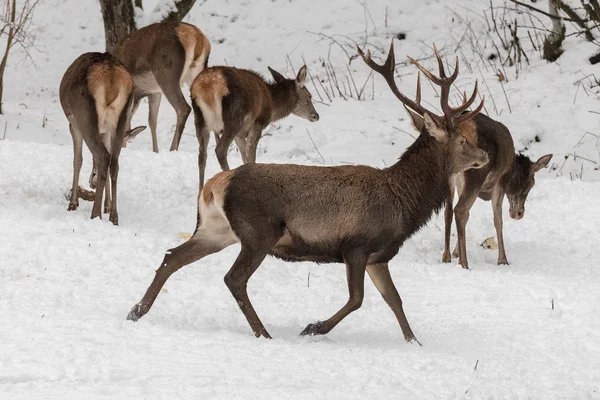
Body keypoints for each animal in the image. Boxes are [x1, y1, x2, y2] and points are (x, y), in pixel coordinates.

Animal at [59, 52, 146, 225]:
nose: (91, 183)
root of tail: (111, 79)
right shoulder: (106, 130)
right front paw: (107, 205)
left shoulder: (73, 124)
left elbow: (77, 160)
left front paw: (73, 204)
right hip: (121, 119)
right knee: (114, 161)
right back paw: (114, 216)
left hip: (84, 116)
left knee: (103, 156)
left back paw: (95, 214)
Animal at [115, 21, 211, 154]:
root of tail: (198, 37)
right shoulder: (154, 92)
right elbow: (152, 120)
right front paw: (155, 151)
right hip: (195, 73)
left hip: (166, 73)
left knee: (183, 108)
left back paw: (173, 149)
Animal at [190, 65, 322, 190]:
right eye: (309, 96)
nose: (316, 115)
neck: (272, 105)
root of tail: (207, 87)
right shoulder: (258, 122)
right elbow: (250, 156)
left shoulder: (240, 134)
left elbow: (244, 156)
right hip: (234, 118)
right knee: (220, 150)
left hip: (200, 121)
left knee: (202, 156)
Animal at [404, 46, 552, 268]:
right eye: (530, 183)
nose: (518, 214)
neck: (513, 167)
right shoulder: (500, 182)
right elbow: (497, 219)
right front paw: (503, 260)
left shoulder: (458, 182)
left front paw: (455, 252)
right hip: (476, 172)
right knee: (461, 210)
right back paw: (464, 264)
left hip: (449, 178)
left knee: (448, 212)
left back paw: (447, 257)